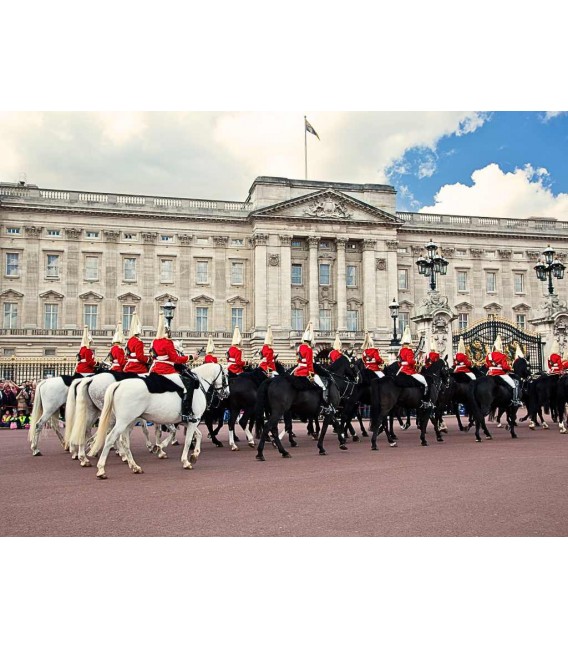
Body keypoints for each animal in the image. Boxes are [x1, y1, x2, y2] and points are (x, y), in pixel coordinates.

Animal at [89, 362, 229, 478]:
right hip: (123, 421)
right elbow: (188, 440)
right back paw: (101, 469)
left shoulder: (189, 421)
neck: (197, 385)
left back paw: (134, 466)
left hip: (128, 422)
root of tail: (119, 383)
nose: (227, 393)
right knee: (110, 439)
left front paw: (194, 455)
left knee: (124, 441)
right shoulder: (194, 420)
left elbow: (198, 435)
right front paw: (185, 461)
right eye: (226, 376)